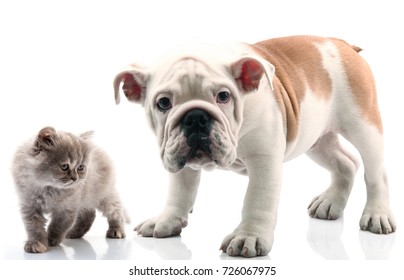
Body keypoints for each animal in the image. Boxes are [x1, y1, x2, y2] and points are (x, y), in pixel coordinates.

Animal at [113, 36, 394, 258]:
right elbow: (179, 192)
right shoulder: (178, 157)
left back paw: (377, 214)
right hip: (315, 138)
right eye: (163, 103)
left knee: (375, 172)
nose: (195, 117)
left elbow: (257, 200)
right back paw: (330, 202)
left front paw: (248, 236)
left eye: (223, 96)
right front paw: (167, 220)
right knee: (346, 162)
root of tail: (342, 44)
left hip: (363, 126)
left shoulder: (264, 160)